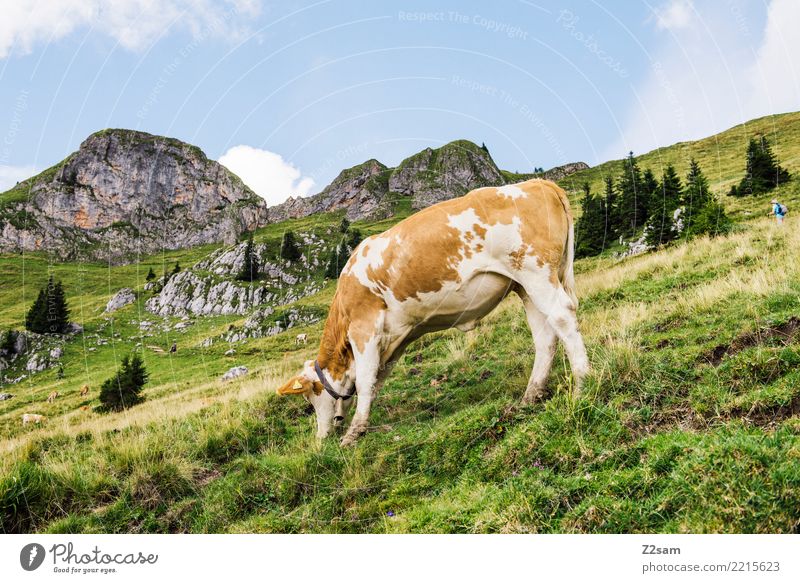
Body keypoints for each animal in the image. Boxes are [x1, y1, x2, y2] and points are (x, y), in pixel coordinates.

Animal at [278, 180, 592, 444]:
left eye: (311, 397)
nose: (321, 437)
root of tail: (540, 182)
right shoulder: (395, 337)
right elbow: (377, 379)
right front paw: (363, 424)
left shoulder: (364, 327)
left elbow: (366, 381)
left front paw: (352, 434)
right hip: (525, 285)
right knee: (544, 335)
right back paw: (532, 394)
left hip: (535, 270)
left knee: (562, 316)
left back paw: (582, 383)